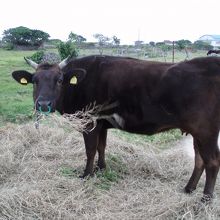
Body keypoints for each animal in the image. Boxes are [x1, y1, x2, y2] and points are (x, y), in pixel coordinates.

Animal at [12, 55, 220, 203]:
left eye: (60, 80)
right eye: (35, 80)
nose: (43, 104)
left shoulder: (89, 122)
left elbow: (90, 150)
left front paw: (86, 175)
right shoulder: (102, 124)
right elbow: (101, 147)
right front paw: (101, 168)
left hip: (206, 132)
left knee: (212, 162)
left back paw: (205, 199)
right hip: (197, 133)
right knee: (199, 159)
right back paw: (189, 188)